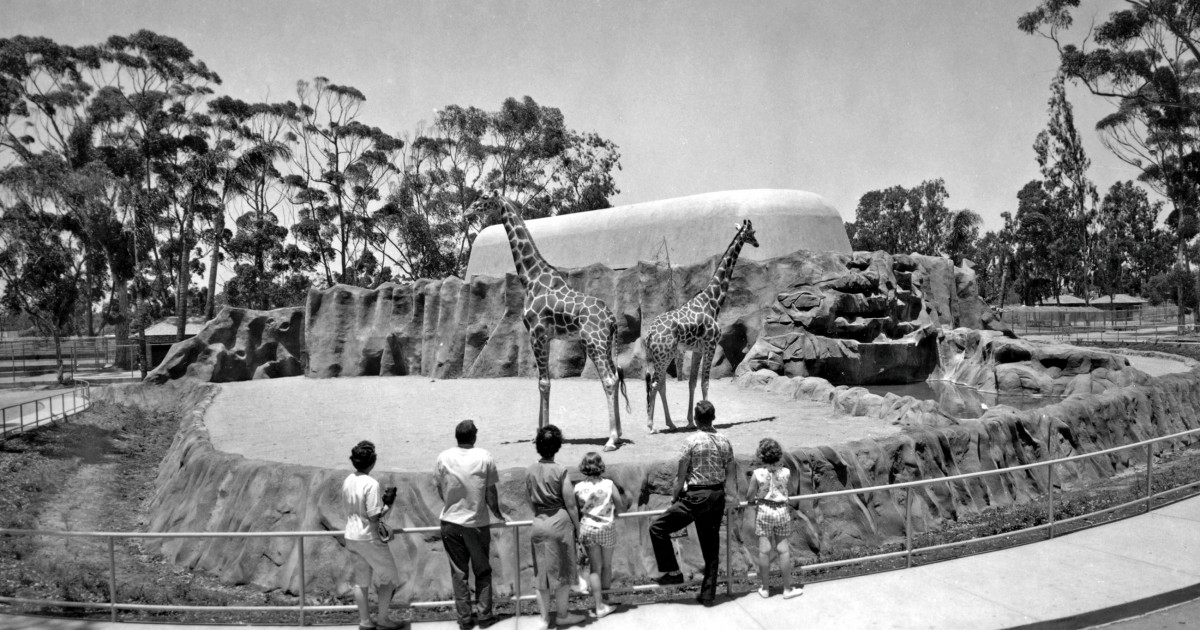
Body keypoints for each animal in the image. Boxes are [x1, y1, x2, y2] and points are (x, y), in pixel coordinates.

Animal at [494, 194, 633, 448]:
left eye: (481, 199)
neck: (531, 278)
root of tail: (612, 320)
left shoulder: (537, 333)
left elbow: (544, 383)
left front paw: (543, 433)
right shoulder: (544, 337)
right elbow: (540, 382)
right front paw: (537, 432)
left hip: (593, 343)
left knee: (609, 380)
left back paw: (610, 440)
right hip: (606, 344)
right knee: (616, 377)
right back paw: (618, 434)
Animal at [638, 218, 758, 429]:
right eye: (753, 232)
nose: (757, 243)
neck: (713, 301)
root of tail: (650, 334)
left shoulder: (697, 349)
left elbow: (692, 383)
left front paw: (690, 421)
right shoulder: (711, 345)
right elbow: (705, 382)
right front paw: (709, 420)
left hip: (656, 356)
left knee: (660, 384)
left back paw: (670, 423)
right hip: (664, 355)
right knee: (655, 384)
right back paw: (651, 425)